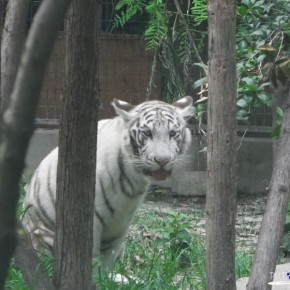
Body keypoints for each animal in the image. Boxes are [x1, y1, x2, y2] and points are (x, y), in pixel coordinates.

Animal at [22, 95, 194, 270]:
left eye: (172, 133)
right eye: (147, 133)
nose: (162, 160)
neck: (134, 177)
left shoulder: (120, 224)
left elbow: (107, 258)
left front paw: (105, 275)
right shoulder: (91, 217)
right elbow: (90, 254)